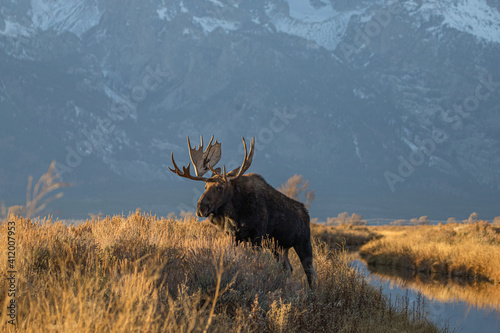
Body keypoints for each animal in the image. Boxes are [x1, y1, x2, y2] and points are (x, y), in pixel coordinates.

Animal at [168, 136, 316, 286]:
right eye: (205, 186)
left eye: (220, 187)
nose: (200, 208)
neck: (236, 215)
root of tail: (306, 213)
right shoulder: (232, 236)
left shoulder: (257, 236)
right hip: (279, 247)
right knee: (288, 268)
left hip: (303, 242)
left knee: (310, 271)